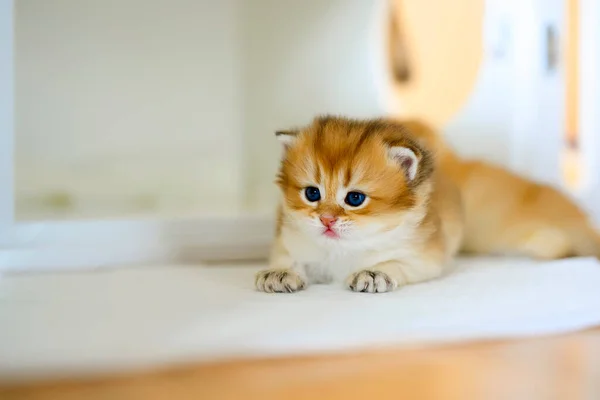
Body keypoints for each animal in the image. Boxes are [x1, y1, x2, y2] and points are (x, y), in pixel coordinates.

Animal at [253, 115, 464, 294]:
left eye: (355, 198)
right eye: (312, 193)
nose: (326, 219)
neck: (341, 249)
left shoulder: (424, 257)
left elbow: (397, 263)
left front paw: (374, 273)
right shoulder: (288, 239)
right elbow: (288, 258)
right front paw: (280, 272)